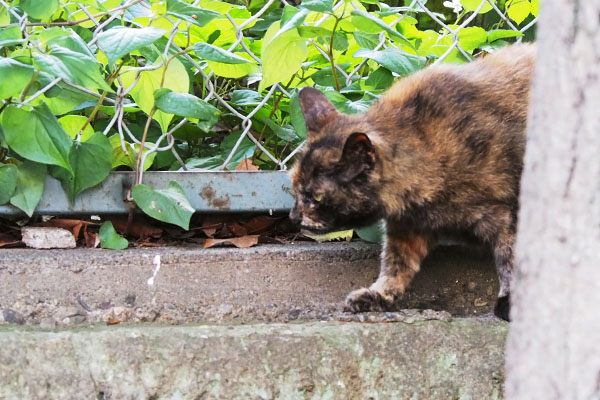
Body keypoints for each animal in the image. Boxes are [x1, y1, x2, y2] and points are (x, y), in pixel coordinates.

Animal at [290, 43, 536, 320]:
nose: (292, 217)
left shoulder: (509, 216)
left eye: (315, 197)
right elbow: (395, 265)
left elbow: (510, 260)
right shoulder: (406, 227)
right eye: (295, 189)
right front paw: (379, 296)